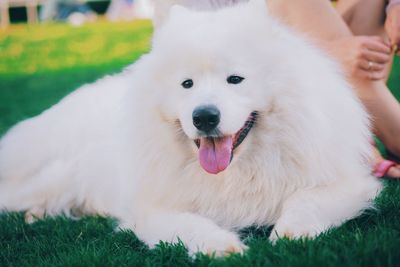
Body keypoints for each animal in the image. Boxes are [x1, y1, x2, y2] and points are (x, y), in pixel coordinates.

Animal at [0, 0, 382, 256]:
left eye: (235, 79)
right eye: (187, 84)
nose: (204, 117)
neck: (235, 174)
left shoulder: (348, 183)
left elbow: (306, 201)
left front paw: (291, 233)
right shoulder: (155, 210)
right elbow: (189, 225)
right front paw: (223, 246)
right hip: (52, 175)